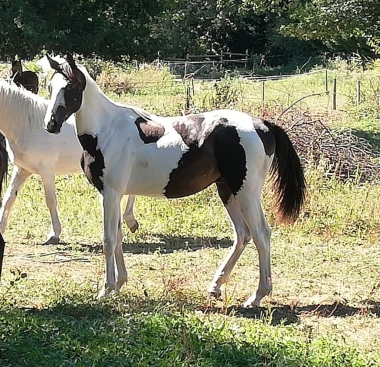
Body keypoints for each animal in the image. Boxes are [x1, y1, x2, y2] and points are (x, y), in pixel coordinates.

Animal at [0, 82, 138, 246]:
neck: (27, 125)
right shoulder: (22, 170)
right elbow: (9, 198)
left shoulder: (46, 171)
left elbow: (50, 201)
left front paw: (54, 235)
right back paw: (130, 221)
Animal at [44, 54, 306, 308]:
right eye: (50, 86)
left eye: (70, 88)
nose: (51, 124)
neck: (107, 131)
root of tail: (263, 125)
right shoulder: (112, 195)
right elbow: (118, 237)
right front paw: (119, 284)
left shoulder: (111, 193)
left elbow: (108, 240)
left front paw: (106, 290)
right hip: (228, 191)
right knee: (243, 235)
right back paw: (216, 286)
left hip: (247, 193)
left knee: (262, 234)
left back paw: (257, 296)